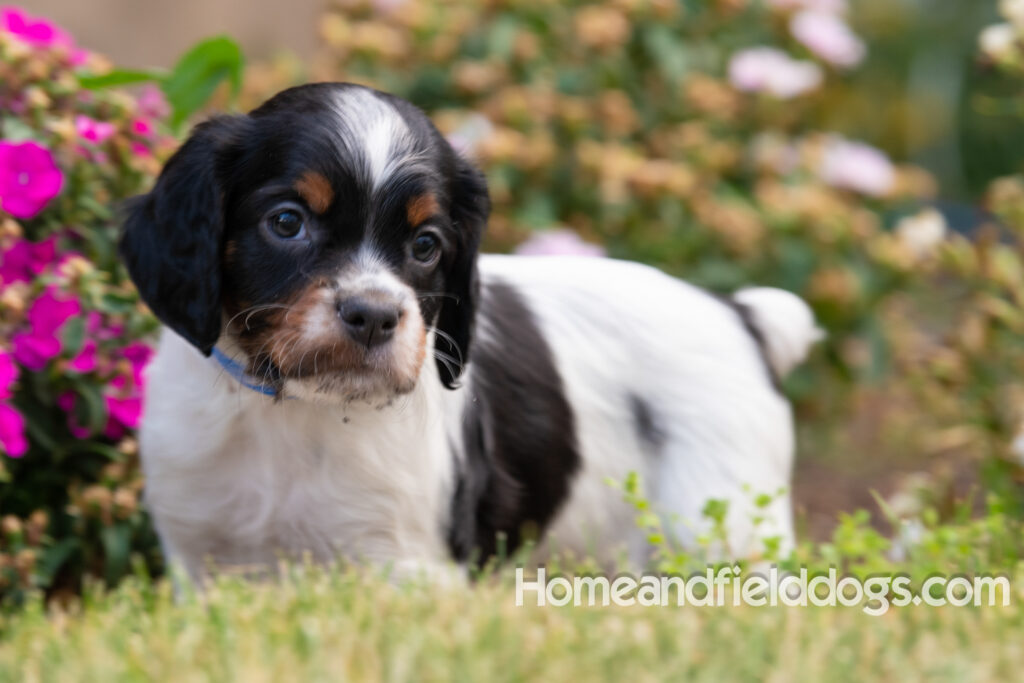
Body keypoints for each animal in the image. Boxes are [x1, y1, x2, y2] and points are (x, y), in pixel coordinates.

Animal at [119, 81, 823, 581]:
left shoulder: (405, 566)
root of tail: (738, 313)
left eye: (426, 244)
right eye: (287, 222)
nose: (375, 316)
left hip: (725, 519)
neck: (295, 412)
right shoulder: (203, 558)